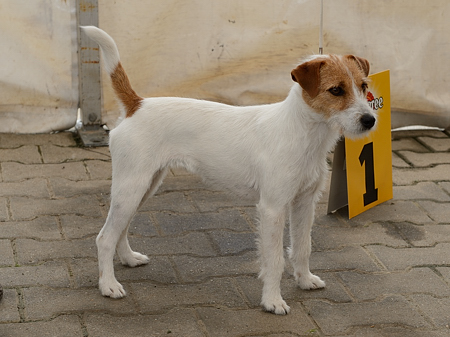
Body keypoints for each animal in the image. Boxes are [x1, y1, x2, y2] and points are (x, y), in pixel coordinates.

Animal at [81, 26, 376, 316]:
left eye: (363, 86)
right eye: (336, 90)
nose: (370, 120)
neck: (302, 132)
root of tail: (137, 104)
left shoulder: (305, 202)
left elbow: (303, 247)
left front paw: (304, 280)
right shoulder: (273, 208)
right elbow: (275, 260)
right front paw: (272, 301)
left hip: (143, 187)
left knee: (120, 229)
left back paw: (129, 259)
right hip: (131, 187)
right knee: (104, 237)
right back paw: (108, 285)